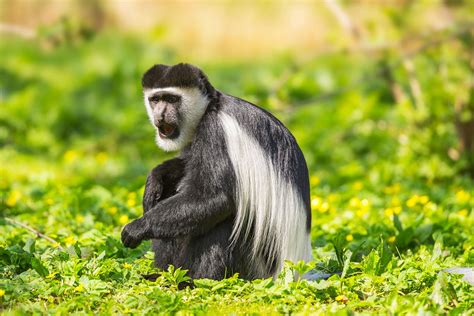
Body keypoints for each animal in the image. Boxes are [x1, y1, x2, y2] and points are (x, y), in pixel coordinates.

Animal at [121, 63, 314, 278]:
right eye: (155, 100)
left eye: (172, 99)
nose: (160, 116)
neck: (211, 107)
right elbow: (187, 163)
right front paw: (156, 177)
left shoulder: (216, 130)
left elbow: (214, 197)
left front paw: (137, 228)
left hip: (255, 264)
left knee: (224, 220)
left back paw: (194, 281)